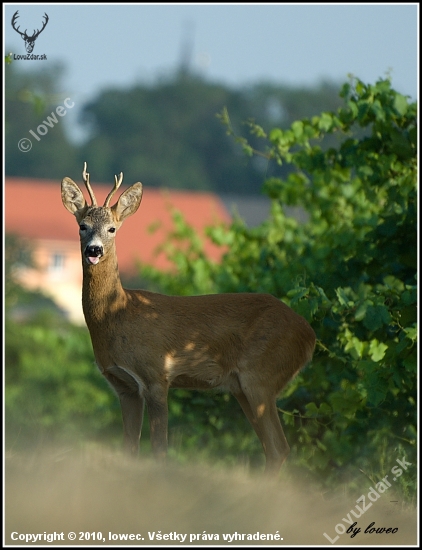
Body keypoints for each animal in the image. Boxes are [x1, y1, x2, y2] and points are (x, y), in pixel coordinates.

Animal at [61, 163, 314, 474]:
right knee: (273, 449)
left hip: (262, 374)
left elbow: (160, 449)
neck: (119, 313)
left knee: (279, 447)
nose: (94, 250)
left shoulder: (156, 375)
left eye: (112, 228)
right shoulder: (124, 386)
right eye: (82, 226)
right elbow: (129, 450)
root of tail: (309, 334)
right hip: (243, 387)